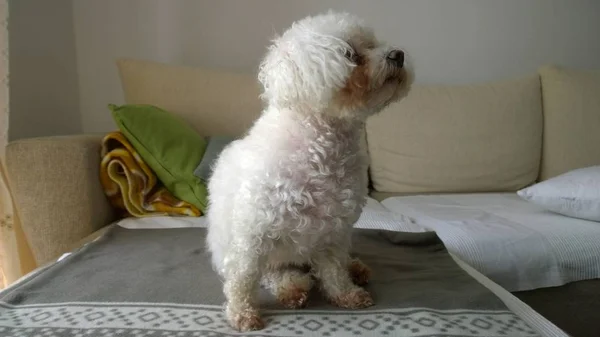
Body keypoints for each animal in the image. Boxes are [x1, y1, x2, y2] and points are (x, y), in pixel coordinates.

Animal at [206, 10, 412, 330]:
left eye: (373, 44)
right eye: (349, 53)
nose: (398, 55)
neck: (321, 151)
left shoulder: (333, 230)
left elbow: (334, 270)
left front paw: (347, 294)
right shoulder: (252, 232)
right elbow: (243, 278)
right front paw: (242, 313)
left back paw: (356, 268)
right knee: (273, 274)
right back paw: (292, 287)